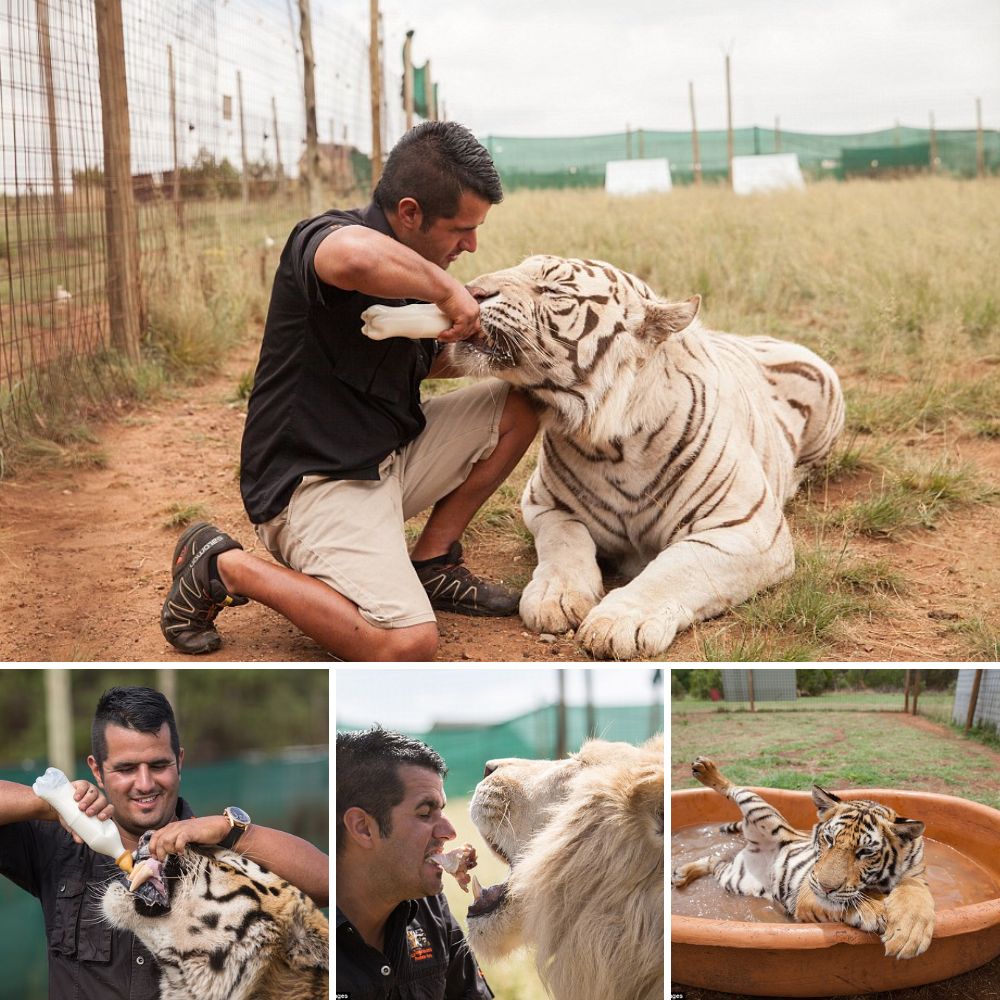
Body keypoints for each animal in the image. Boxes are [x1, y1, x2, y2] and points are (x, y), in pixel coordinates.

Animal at [454, 258, 844, 660]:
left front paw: (618, 622)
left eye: (553, 290)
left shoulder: (747, 528)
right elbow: (565, 543)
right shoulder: (546, 504)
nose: (470, 291)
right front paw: (555, 597)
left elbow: (678, 567)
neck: (610, 445)